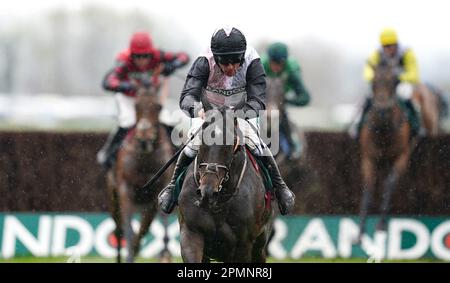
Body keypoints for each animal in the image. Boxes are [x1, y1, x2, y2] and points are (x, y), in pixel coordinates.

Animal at [106, 83, 173, 262]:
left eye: (159, 106)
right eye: (136, 106)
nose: (144, 138)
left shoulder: (160, 189)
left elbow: (162, 223)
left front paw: (165, 255)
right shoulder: (125, 188)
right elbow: (128, 229)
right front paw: (129, 256)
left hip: (147, 204)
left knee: (144, 228)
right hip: (114, 198)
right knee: (119, 229)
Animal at [177, 111, 274, 264]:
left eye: (230, 142)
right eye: (202, 140)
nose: (208, 192)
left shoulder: (243, 245)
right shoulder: (191, 232)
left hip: (260, 245)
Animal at [358, 65, 418, 243]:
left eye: (394, 82)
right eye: (373, 82)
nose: (382, 110)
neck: (383, 132)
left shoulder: (402, 156)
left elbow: (389, 185)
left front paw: (381, 225)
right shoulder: (368, 158)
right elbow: (369, 188)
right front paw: (359, 232)